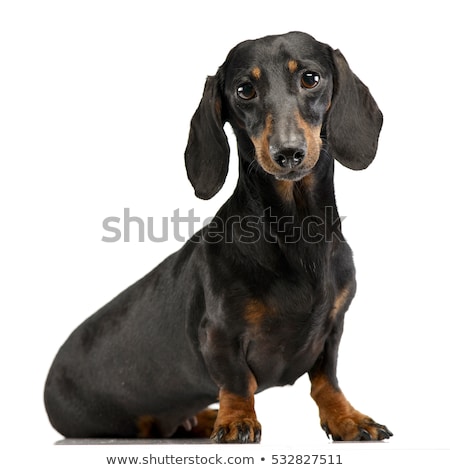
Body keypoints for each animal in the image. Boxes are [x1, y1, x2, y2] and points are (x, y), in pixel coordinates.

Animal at [44, 31, 392, 442]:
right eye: (244, 90)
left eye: (311, 78)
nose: (288, 152)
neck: (297, 232)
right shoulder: (219, 333)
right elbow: (238, 382)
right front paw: (237, 421)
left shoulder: (332, 327)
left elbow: (327, 380)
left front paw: (346, 418)